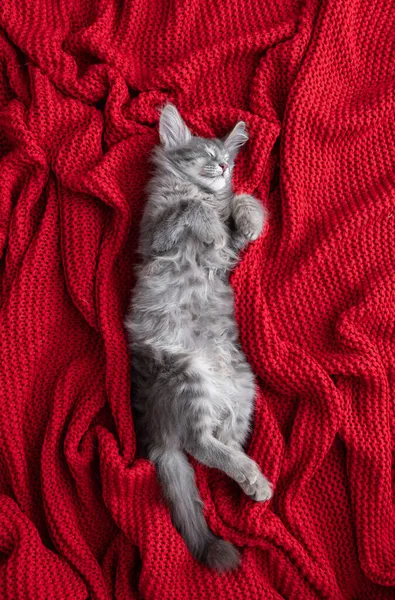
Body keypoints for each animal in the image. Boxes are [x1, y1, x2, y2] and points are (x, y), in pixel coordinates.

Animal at [126, 104, 272, 572]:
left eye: (227, 157)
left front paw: (250, 218)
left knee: (220, 443)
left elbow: (242, 202)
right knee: (198, 444)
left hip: (244, 386)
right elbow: (188, 208)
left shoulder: (227, 254)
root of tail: (157, 430)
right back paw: (252, 476)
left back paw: (253, 478)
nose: (224, 167)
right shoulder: (155, 233)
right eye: (207, 155)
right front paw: (206, 222)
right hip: (187, 376)